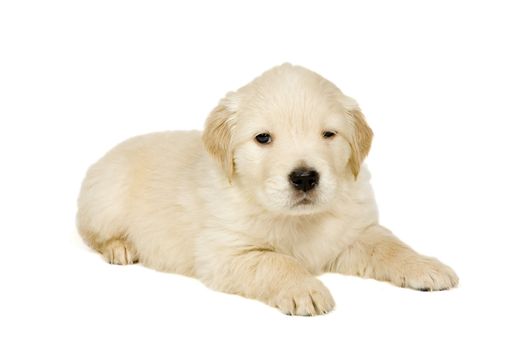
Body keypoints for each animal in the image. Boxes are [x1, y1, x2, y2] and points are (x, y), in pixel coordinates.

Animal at [76, 64, 460, 316]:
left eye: (329, 134)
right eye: (263, 138)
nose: (304, 178)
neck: (297, 219)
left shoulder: (354, 233)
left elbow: (389, 245)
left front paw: (424, 266)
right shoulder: (227, 252)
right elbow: (275, 261)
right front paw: (304, 288)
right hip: (105, 197)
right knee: (91, 234)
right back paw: (120, 247)